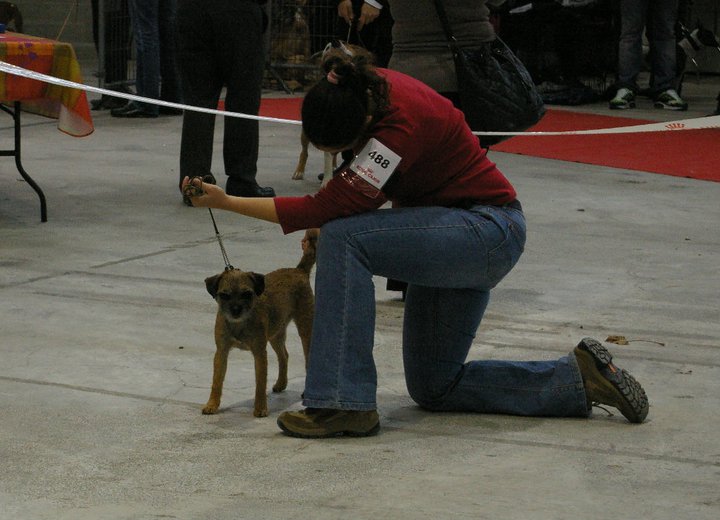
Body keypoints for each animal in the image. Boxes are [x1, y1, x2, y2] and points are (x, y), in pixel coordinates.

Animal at [202, 228, 319, 417]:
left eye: (247, 294)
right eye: (224, 295)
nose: (236, 309)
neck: (240, 323)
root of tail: (298, 271)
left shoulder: (259, 353)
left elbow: (260, 383)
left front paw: (260, 408)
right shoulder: (221, 353)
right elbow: (217, 382)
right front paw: (212, 404)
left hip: (305, 329)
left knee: (307, 359)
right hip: (276, 334)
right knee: (284, 355)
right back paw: (281, 383)